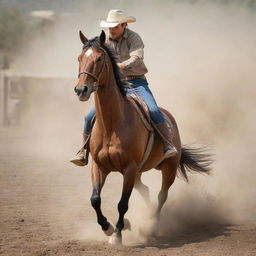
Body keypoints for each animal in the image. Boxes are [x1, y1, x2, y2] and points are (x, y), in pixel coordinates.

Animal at [73, 31, 211, 245]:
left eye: (99, 59)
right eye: (80, 58)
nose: (81, 90)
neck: (113, 125)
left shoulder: (129, 169)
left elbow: (122, 203)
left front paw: (117, 235)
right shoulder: (99, 166)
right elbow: (95, 199)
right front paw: (108, 228)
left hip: (168, 169)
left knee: (162, 196)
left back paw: (152, 225)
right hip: (139, 173)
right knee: (145, 190)